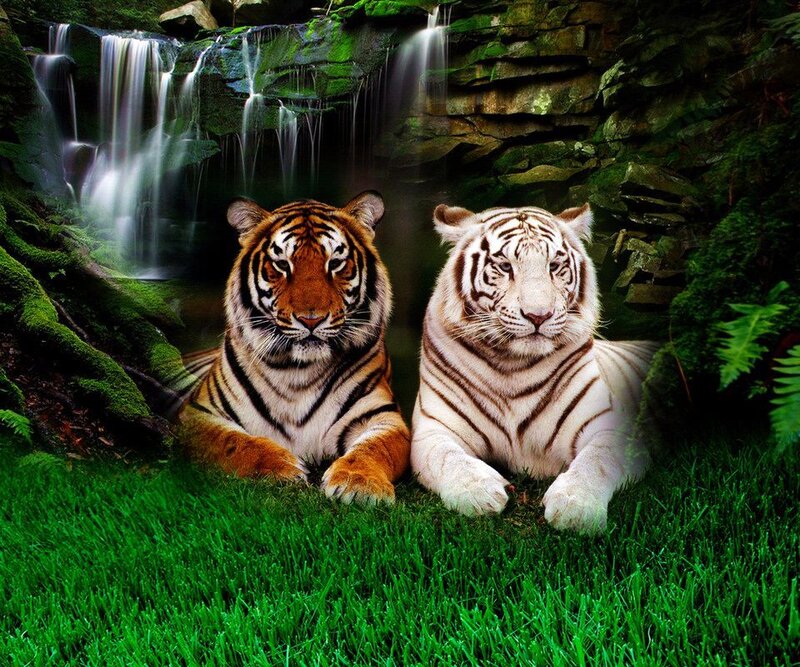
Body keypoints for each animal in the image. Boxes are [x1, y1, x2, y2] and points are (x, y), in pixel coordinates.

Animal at [178, 191, 410, 505]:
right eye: (282, 264)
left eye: (335, 263)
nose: (310, 319)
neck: (297, 371)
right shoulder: (198, 413)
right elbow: (231, 441)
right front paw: (280, 468)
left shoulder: (383, 417)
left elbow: (375, 448)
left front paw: (359, 483)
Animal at [411, 202, 659, 533]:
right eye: (504, 266)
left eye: (554, 266)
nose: (539, 315)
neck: (512, 366)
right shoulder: (433, 429)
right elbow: (448, 457)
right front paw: (478, 492)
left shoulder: (614, 428)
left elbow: (597, 460)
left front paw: (575, 506)